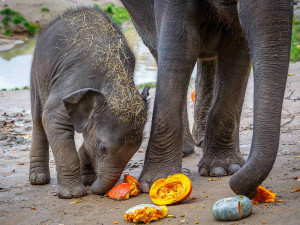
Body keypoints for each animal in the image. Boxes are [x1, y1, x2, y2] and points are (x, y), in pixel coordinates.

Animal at [28, 7, 148, 198]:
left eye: (136, 150)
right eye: (102, 148)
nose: (94, 190)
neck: (117, 78)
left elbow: (87, 135)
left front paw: (87, 179)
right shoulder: (74, 81)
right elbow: (53, 117)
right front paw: (73, 194)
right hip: (37, 72)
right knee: (38, 118)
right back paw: (38, 179)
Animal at [120, 0, 292, 197]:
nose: (250, 191)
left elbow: (236, 48)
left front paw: (223, 169)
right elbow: (179, 46)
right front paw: (159, 181)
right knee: (158, 47)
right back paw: (186, 150)